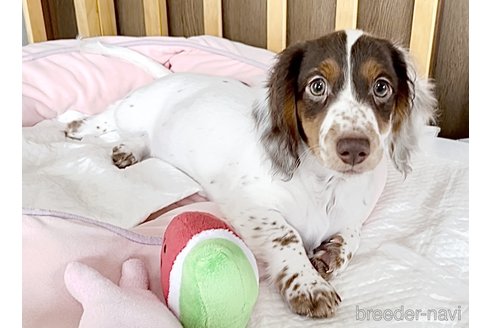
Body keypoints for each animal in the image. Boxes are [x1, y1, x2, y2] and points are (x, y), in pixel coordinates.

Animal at [67, 30, 436, 318]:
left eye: (382, 87)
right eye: (317, 86)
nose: (355, 148)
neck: (326, 183)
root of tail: (170, 78)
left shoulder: (355, 215)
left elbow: (352, 235)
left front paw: (331, 255)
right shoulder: (248, 204)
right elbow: (286, 234)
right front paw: (307, 284)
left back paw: (128, 150)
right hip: (131, 109)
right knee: (107, 117)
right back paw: (76, 124)